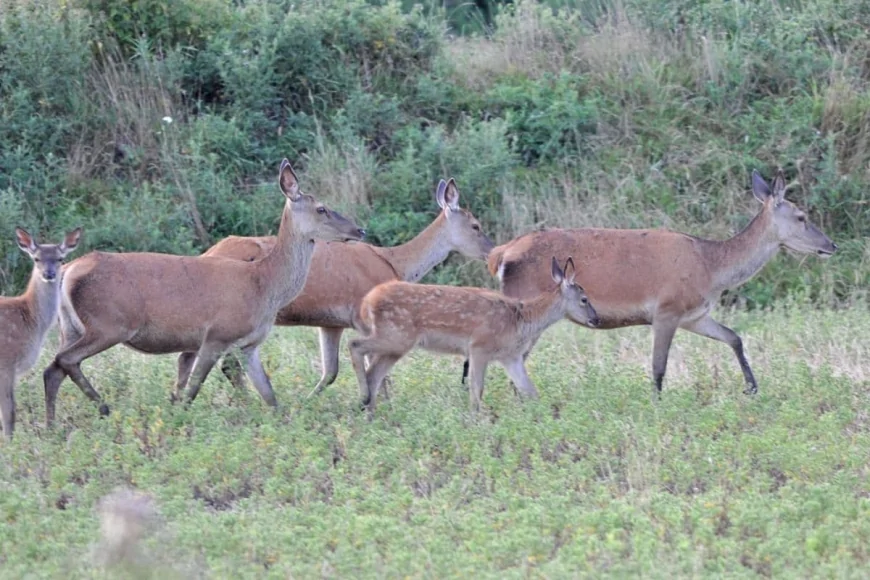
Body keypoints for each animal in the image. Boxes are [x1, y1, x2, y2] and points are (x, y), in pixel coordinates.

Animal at [0, 227, 82, 439]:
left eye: (60, 258)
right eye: (36, 258)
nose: (49, 273)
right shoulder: (6, 363)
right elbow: (9, 413)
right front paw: (11, 443)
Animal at [42, 159, 365, 424]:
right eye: (321, 208)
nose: (359, 230)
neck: (265, 286)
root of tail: (69, 270)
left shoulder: (249, 345)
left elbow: (270, 396)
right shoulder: (216, 335)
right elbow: (192, 390)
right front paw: (178, 421)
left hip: (71, 326)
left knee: (53, 368)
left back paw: (52, 425)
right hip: (110, 323)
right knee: (65, 360)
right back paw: (103, 408)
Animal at [198, 178, 494, 397]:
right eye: (475, 225)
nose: (493, 251)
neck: (397, 265)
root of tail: (208, 252)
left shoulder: (331, 323)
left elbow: (330, 372)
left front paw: (309, 402)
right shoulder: (364, 317)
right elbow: (378, 372)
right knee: (228, 363)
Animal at [348, 257, 600, 416]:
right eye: (584, 299)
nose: (596, 319)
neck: (521, 319)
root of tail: (367, 300)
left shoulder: (510, 356)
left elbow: (530, 390)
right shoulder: (479, 346)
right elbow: (477, 390)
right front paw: (476, 421)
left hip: (396, 343)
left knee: (374, 373)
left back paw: (369, 412)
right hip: (396, 335)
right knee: (354, 345)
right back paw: (363, 399)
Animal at [473, 169, 838, 397]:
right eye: (802, 216)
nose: (831, 245)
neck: (712, 269)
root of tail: (500, 255)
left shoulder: (695, 315)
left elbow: (734, 337)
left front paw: (752, 387)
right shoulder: (667, 309)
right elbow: (658, 366)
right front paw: (656, 403)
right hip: (526, 306)